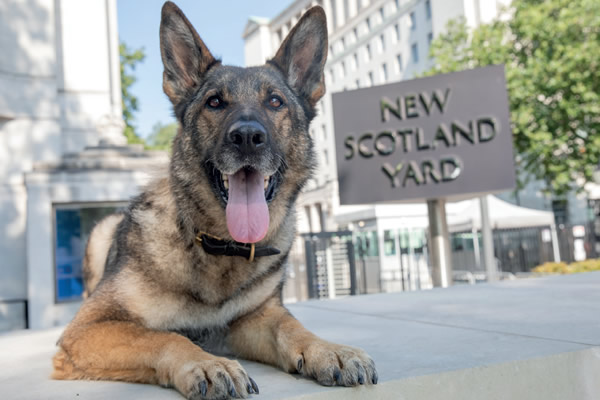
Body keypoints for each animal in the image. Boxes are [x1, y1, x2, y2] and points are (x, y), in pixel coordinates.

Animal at [54, 2, 378, 396]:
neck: (219, 245)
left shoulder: (254, 319)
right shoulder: (88, 328)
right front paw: (207, 364)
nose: (248, 137)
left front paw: (329, 350)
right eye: (215, 102)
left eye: (275, 101)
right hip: (102, 230)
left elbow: (291, 327)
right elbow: (165, 337)